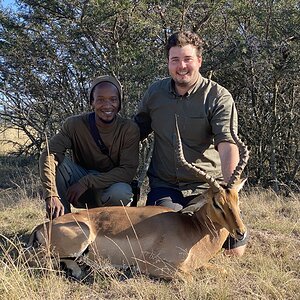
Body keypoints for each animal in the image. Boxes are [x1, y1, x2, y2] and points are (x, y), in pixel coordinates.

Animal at [25, 114, 248, 278]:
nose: (241, 233)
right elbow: (188, 276)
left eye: (237, 200)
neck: (193, 229)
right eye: (216, 203)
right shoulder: (157, 267)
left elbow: (222, 269)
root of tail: (41, 227)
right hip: (78, 240)